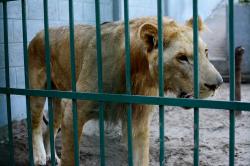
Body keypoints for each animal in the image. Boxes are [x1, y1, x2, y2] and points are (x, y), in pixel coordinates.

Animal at [27, 16, 223, 165]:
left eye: (206, 52)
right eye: (182, 58)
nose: (217, 84)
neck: (138, 72)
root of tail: (38, 33)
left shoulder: (139, 119)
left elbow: (141, 157)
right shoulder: (74, 108)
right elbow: (70, 157)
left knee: (49, 129)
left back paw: (51, 156)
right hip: (37, 92)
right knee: (35, 125)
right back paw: (39, 157)